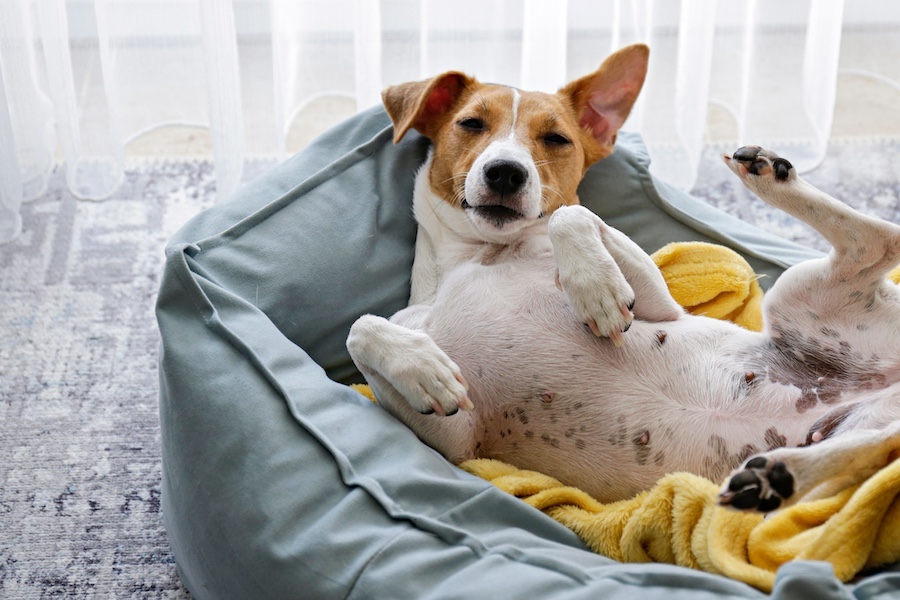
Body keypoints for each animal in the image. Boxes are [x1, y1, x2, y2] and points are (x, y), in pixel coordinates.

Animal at [348, 44, 900, 510]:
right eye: (470, 123)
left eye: (556, 138)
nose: (506, 171)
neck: (481, 255)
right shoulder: (460, 436)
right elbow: (362, 329)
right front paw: (424, 369)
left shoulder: (659, 303)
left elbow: (574, 216)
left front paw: (595, 288)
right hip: (845, 425)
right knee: (866, 454)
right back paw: (773, 478)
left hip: (794, 295)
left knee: (880, 238)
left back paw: (767, 172)